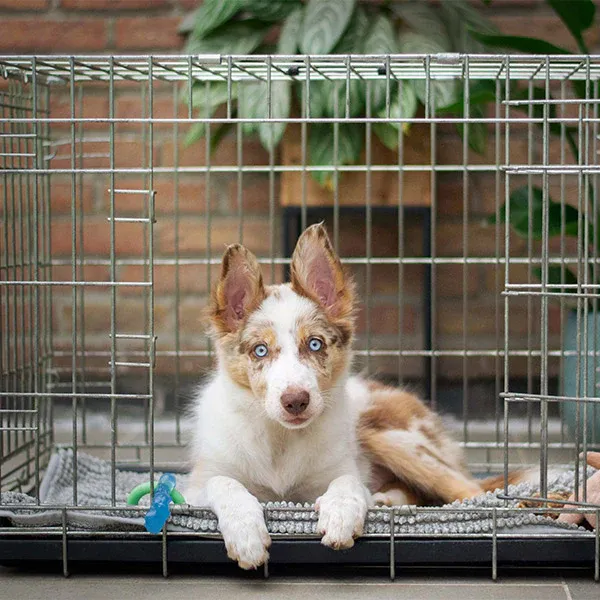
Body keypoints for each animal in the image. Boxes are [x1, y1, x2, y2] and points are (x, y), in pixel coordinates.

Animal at [184, 223, 536, 568]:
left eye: (315, 344)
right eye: (260, 350)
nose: (296, 401)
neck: (280, 440)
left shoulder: (339, 470)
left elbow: (348, 483)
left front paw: (340, 516)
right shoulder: (196, 486)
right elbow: (225, 484)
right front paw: (246, 534)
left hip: (389, 434)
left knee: (469, 491)